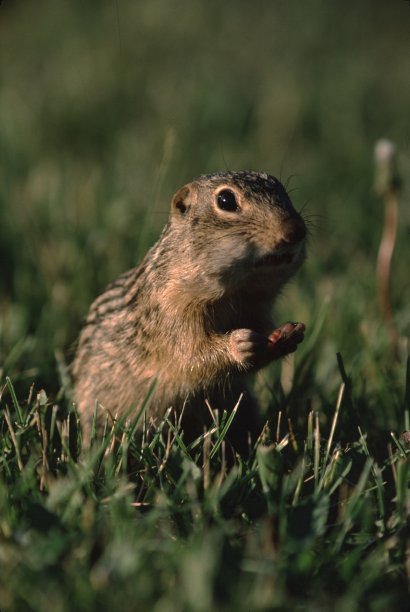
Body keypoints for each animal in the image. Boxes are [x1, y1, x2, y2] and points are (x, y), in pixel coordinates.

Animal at [72, 171, 306, 450]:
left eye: (283, 190)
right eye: (226, 200)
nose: (296, 230)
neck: (236, 291)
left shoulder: (256, 310)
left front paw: (289, 335)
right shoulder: (170, 315)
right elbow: (190, 356)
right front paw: (239, 345)